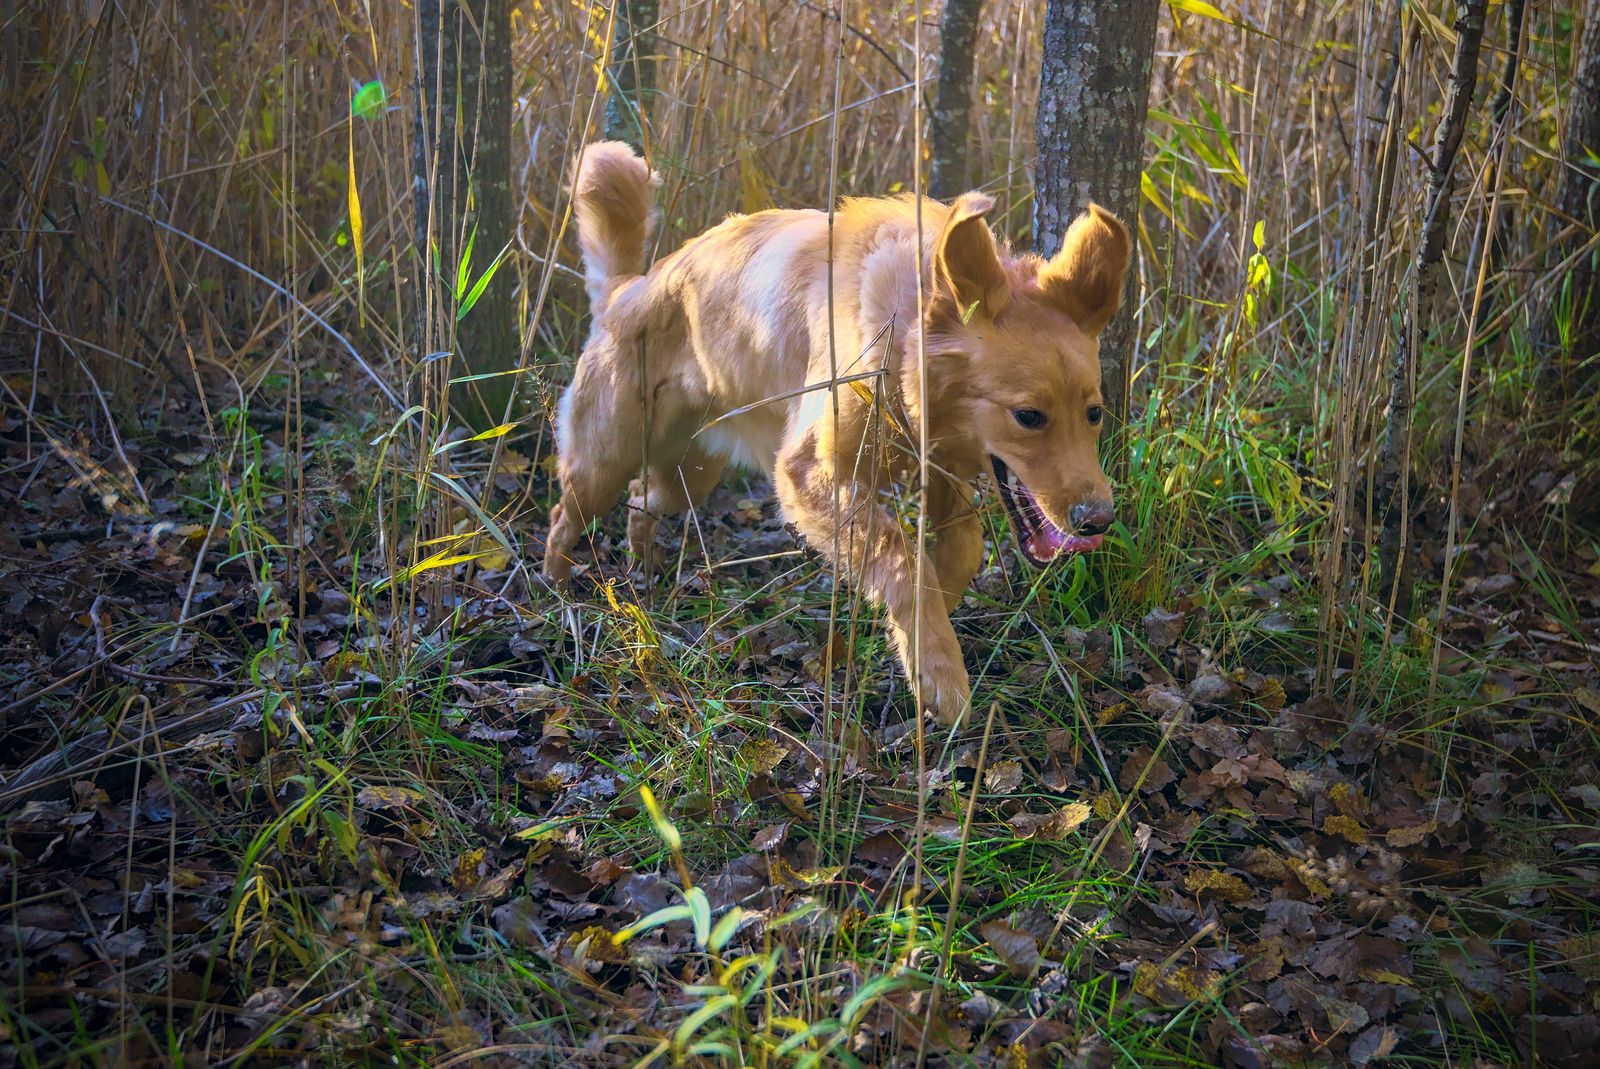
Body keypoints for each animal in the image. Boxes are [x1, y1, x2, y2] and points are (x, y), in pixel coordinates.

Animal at [547, 144, 1126, 726]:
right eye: (1028, 416)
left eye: (1094, 413)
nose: (1097, 522)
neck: (901, 327)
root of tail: (628, 290)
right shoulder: (806, 474)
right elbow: (901, 555)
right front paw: (937, 664)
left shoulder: (937, 463)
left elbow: (961, 548)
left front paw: (923, 619)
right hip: (603, 462)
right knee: (564, 517)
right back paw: (555, 593)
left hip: (688, 476)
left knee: (642, 501)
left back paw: (644, 571)